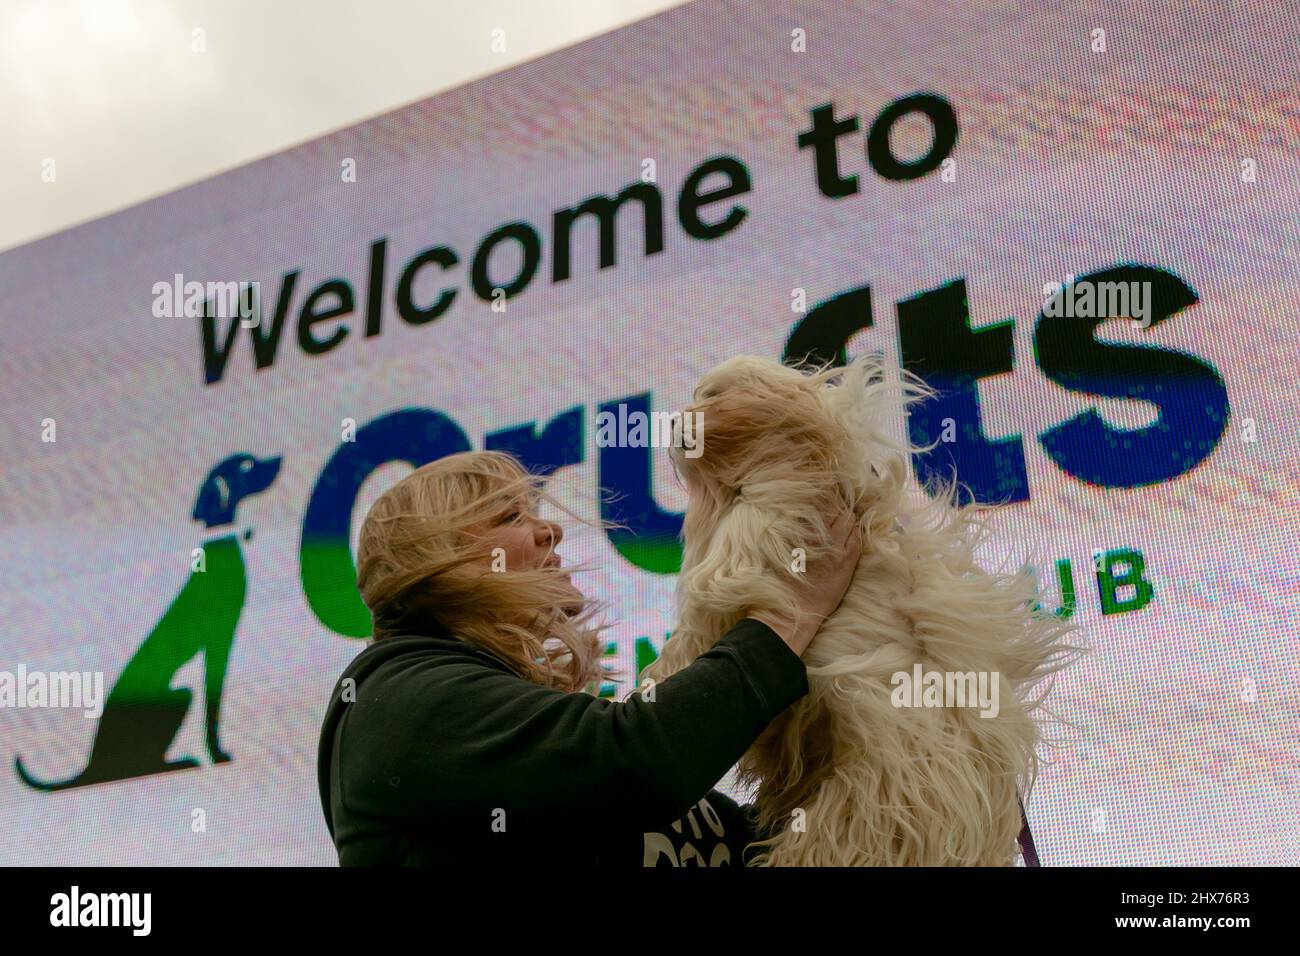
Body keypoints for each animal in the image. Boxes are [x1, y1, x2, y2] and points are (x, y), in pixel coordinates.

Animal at [650, 353, 1086, 868]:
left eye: (713, 396)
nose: (672, 422)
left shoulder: (744, 554)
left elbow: (695, 626)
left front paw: (651, 681)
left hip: (861, 810)